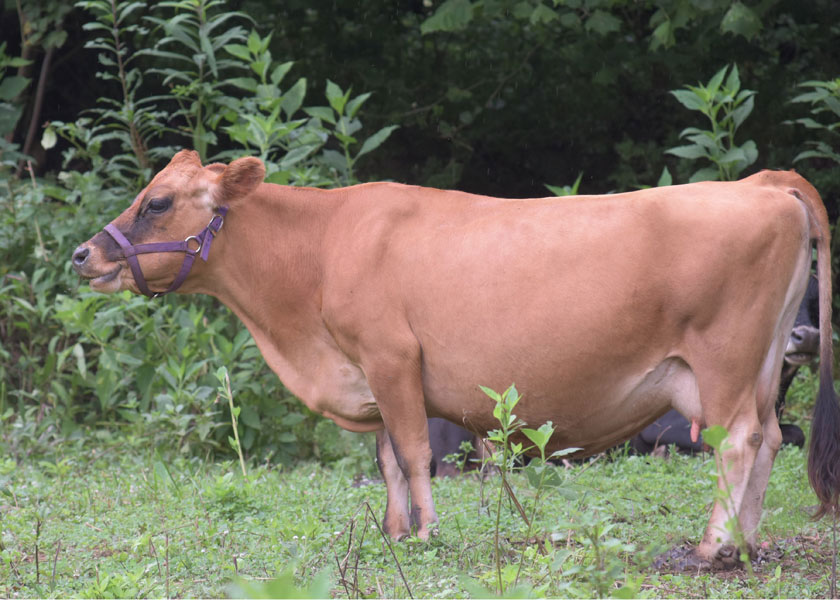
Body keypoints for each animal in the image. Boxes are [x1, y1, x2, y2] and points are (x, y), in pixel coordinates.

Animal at [71, 150, 840, 570]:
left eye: (158, 202)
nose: (84, 255)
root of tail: (760, 182)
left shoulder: (391, 358)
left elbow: (413, 455)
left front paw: (424, 534)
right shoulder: (369, 375)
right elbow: (386, 460)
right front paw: (391, 531)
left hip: (723, 359)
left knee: (738, 442)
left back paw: (714, 548)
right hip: (762, 364)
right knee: (770, 438)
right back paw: (747, 545)